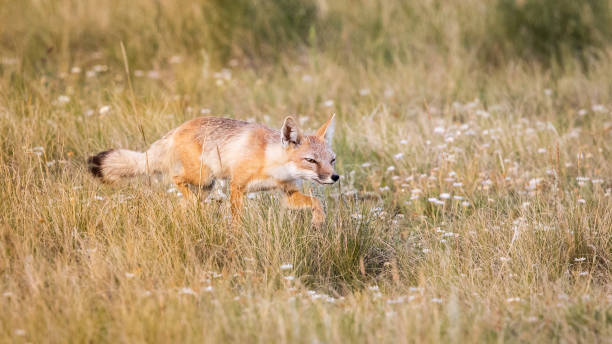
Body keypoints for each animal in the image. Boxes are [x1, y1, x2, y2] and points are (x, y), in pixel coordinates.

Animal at [88, 113, 340, 226]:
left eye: (332, 160)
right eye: (311, 160)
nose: (335, 177)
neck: (271, 162)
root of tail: (178, 128)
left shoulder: (288, 194)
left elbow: (316, 202)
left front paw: (318, 221)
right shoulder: (237, 187)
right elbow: (236, 219)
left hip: (205, 186)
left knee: (180, 204)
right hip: (203, 178)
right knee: (175, 178)